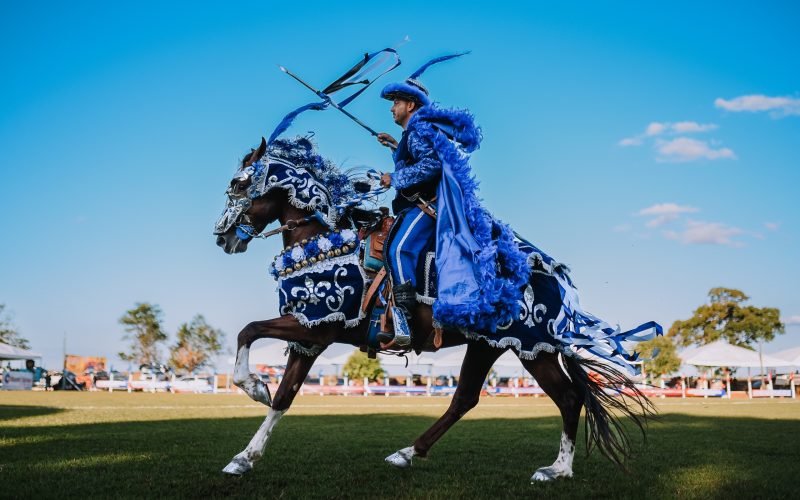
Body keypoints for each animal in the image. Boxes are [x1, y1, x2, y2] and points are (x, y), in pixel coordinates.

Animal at [216, 135, 660, 482]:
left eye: (239, 183)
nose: (222, 236)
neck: (322, 244)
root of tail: (556, 278)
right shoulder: (311, 332)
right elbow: (284, 396)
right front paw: (244, 457)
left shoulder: (315, 326)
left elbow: (248, 330)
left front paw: (253, 386)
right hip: (488, 345)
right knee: (465, 399)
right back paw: (407, 453)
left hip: (532, 348)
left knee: (567, 398)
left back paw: (557, 469)